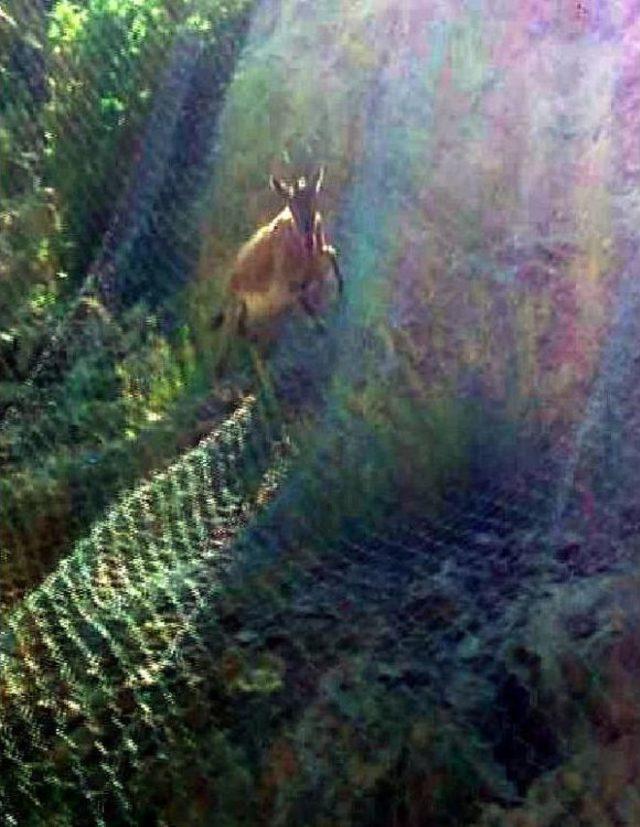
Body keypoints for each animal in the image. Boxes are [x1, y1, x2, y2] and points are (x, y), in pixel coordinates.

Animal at [215, 168, 342, 340]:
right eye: (291, 207)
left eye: (313, 201)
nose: (309, 240)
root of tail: (231, 281)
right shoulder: (291, 283)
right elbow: (307, 304)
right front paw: (320, 327)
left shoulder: (317, 261)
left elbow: (332, 254)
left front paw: (341, 289)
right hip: (243, 302)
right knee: (239, 325)